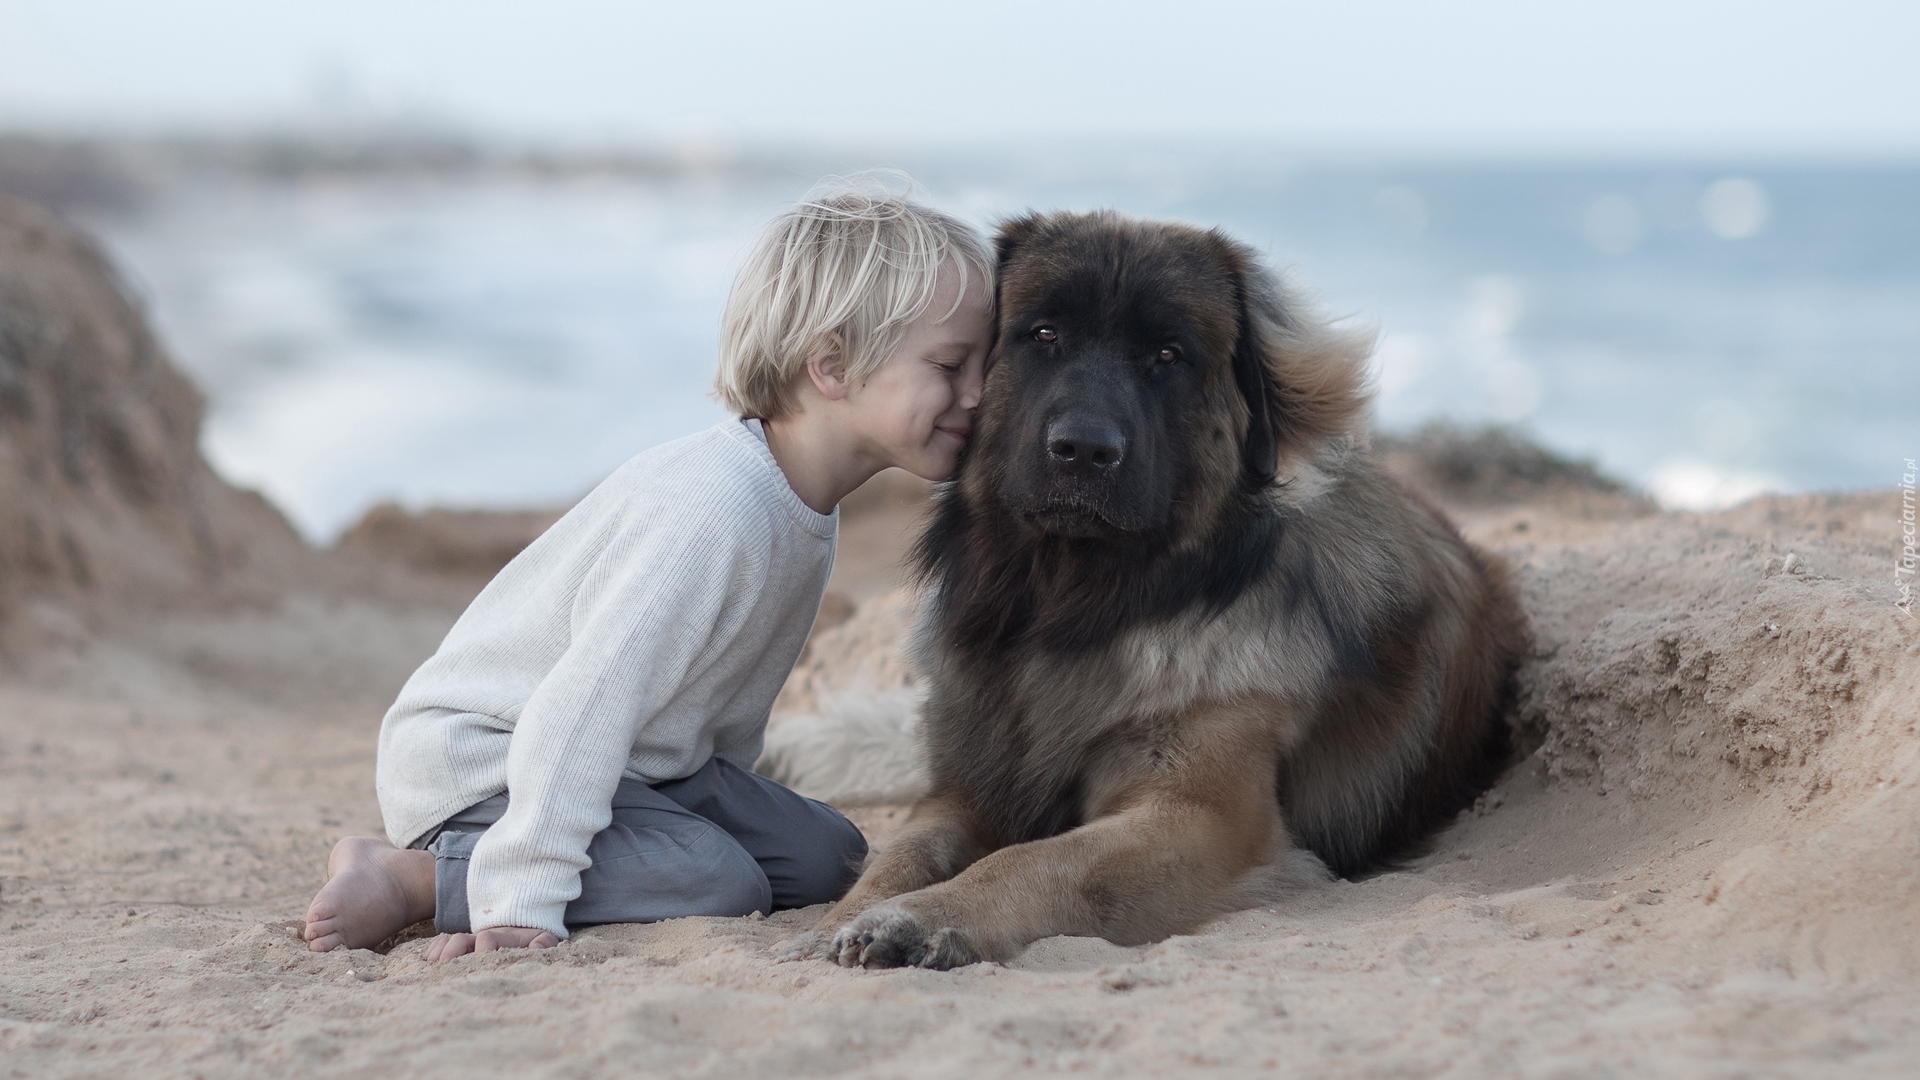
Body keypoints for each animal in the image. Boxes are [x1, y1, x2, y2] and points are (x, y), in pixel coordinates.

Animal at [787, 210, 1520, 968]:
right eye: (1043, 334)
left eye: (1168, 355)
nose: (1084, 449)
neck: (1069, 612)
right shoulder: (966, 790)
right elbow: (901, 853)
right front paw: (846, 918)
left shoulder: (1198, 816)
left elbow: (1034, 860)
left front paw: (921, 918)